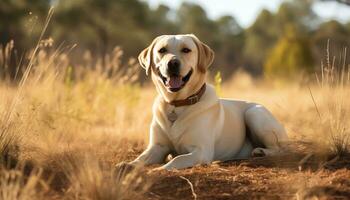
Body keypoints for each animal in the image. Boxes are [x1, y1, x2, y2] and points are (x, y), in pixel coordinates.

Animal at [120, 34, 288, 170]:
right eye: (162, 50)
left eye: (186, 50)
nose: (172, 63)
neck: (177, 104)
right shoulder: (157, 147)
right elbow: (141, 158)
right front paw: (127, 165)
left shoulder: (201, 151)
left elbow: (177, 160)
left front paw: (159, 169)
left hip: (254, 113)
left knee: (280, 149)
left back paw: (261, 151)